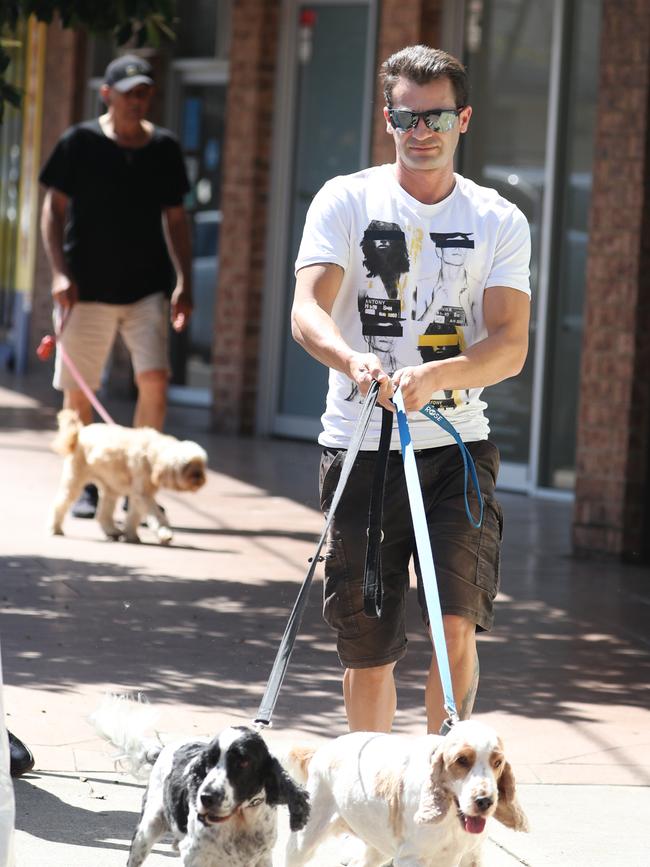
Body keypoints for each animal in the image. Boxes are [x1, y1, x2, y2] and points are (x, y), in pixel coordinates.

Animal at [49, 412, 206, 544]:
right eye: (187, 465)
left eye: (202, 464)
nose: (199, 477)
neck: (150, 454)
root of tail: (80, 433)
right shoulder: (142, 494)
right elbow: (156, 516)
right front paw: (165, 533)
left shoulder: (138, 495)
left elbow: (134, 516)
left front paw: (131, 535)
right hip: (75, 480)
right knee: (60, 504)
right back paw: (55, 528)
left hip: (110, 487)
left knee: (103, 514)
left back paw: (112, 531)